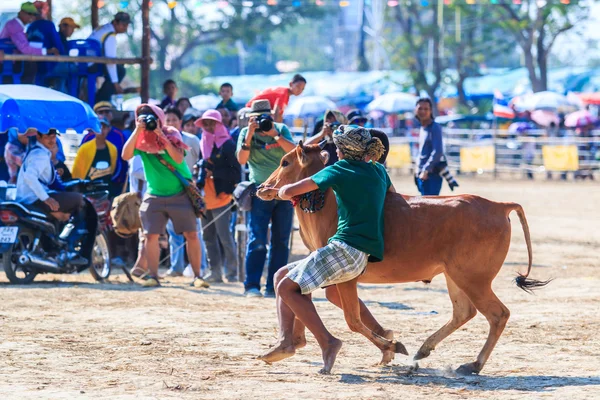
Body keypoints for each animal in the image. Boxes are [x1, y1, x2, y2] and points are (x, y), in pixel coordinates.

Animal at [258, 141, 548, 376]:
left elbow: (353, 320)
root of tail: (499, 206)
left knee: (498, 314)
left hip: (474, 279)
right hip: (455, 276)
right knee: (464, 312)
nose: (261, 188)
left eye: (285, 162)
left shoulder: (345, 277)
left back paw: (473, 364)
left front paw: (391, 346)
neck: (329, 202)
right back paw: (425, 348)